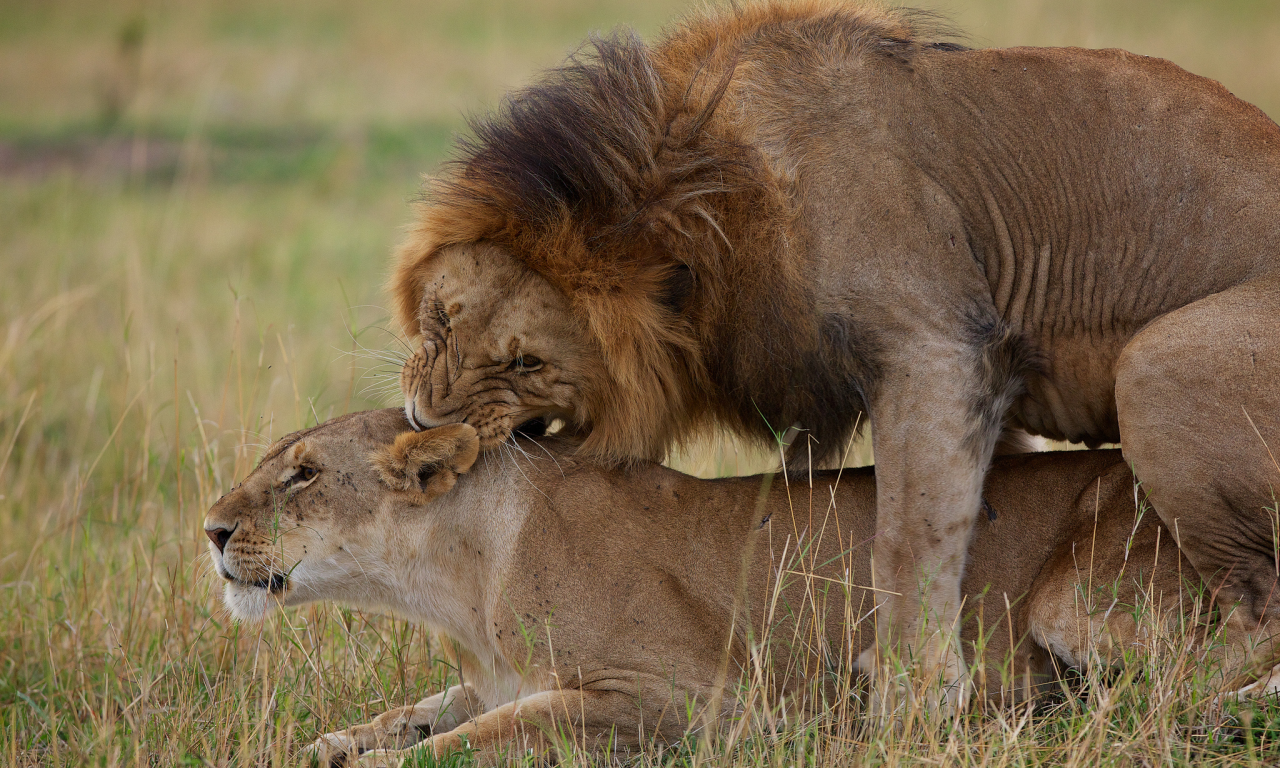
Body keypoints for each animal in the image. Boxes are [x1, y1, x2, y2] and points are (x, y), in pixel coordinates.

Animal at [207, 407, 1280, 768]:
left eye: (303, 474)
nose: (210, 530)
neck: (456, 582)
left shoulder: (683, 699)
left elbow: (474, 741)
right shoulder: (490, 676)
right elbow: (418, 712)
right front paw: (325, 743)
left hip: (1081, 596)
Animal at [389, 1, 1280, 706]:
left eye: (526, 365)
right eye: (438, 318)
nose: (422, 422)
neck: (714, 196)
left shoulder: (939, 346)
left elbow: (909, 536)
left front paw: (914, 697)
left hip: (1157, 362)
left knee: (1258, 604)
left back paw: (1182, 696)